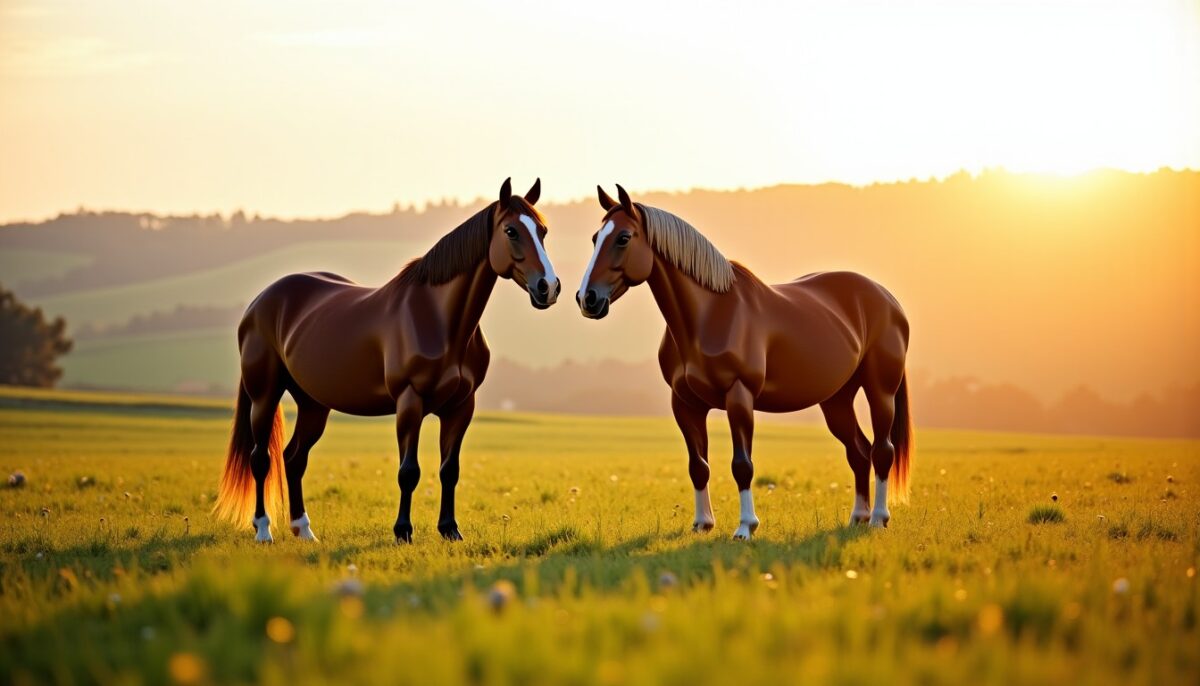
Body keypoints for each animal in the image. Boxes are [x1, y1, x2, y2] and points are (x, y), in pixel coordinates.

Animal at [214, 178, 560, 543]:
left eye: (543, 231)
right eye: (511, 231)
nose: (548, 287)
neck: (440, 320)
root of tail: (261, 301)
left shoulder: (461, 407)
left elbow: (449, 470)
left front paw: (449, 529)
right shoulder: (410, 402)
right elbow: (408, 471)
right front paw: (403, 531)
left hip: (313, 404)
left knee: (294, 459)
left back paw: (304, 530)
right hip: (264, 396)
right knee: (261, 459)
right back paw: (263, 529)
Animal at [576, 184, 912, 539]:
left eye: (624, 238)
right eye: (596, 237)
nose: (587, 299)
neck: (708, 317)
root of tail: (888, 300)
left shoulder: (739, 397)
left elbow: (742, 465)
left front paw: (745, 527)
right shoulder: (684, 404)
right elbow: (698, 466)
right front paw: (702, 523)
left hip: (880, 391)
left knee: (882, 451)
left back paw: (878, 518)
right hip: (837, 400)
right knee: (859, 453)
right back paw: (858, 517)